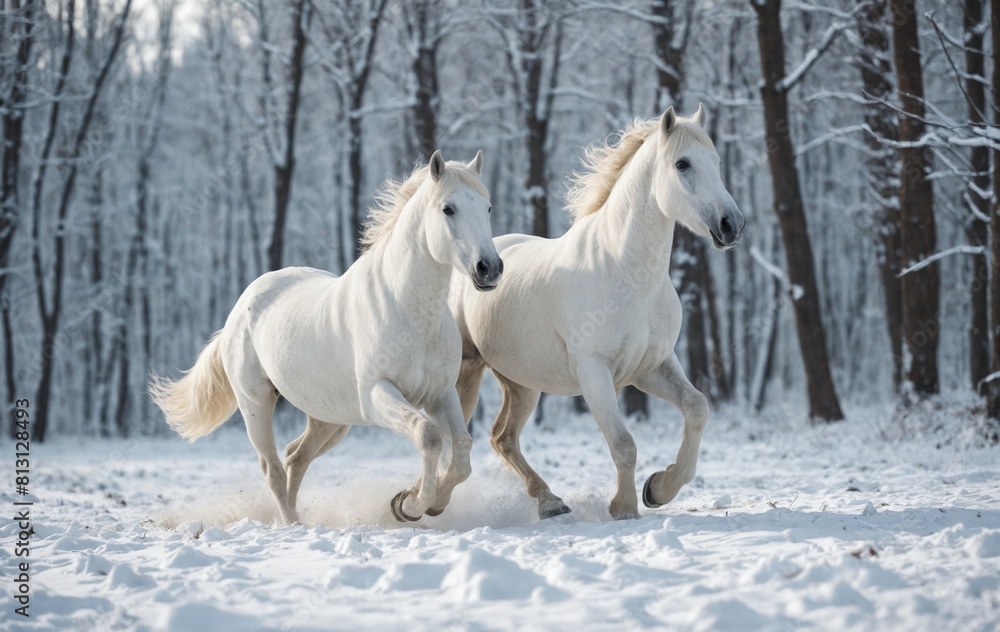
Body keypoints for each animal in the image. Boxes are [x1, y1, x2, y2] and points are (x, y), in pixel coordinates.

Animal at [151, 151, 503, 526]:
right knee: (273, 468)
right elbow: (429, 436)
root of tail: (241, 307)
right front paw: (408, 505)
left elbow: (461, 449)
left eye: (488, 207)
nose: (489, 268)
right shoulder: (378, 394)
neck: (408, 308)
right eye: (448, 208)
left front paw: (431, 502)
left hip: (330, 418)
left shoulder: (440, 394)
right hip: (255, 404)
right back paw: (292, 524)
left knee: (295, 457)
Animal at [449, 106, 744, 520]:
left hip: (522, 384)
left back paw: (550, 501)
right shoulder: (594, 372)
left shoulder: (652, 366)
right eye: (682, 164)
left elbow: (697, 407)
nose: (731, 225)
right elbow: (624, 443)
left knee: (502, 438)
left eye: (717, 162)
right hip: (467, 371)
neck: (625, 274)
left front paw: (658, 489)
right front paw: (624, 507)